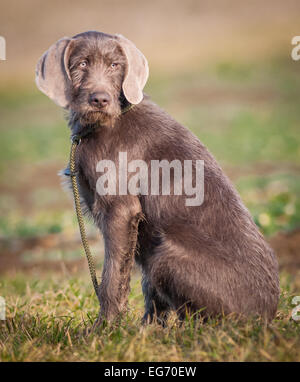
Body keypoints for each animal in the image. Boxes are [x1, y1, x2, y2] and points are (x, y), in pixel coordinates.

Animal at [36, 31, 280, 326]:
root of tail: (266, 317)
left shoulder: (120, 209)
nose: (100, 99)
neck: (105, 123)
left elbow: (111, 277)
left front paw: (104, 328)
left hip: (166, 255)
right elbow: (146, 288)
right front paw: (144, 330)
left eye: (115, 66)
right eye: (81, 64)